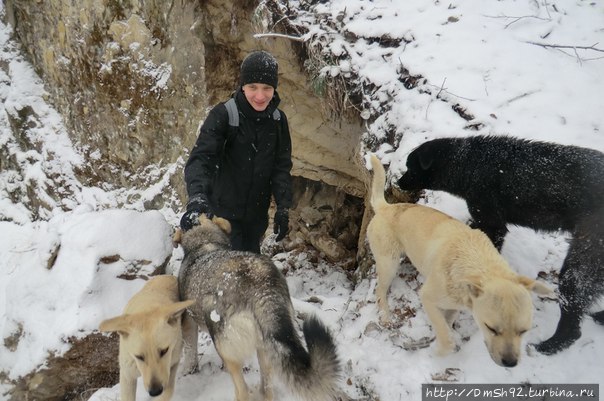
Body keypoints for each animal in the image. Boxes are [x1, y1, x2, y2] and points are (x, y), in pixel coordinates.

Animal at [366, 153, 556, 366]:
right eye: (491, 328)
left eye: (523, 331)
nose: (510, 363)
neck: (477, 263)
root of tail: (385, 208)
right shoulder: (427, 297)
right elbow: (445, 335)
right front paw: (437, 352)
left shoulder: (453, 306)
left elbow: (446, 323)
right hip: (388, 264)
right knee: (380, 291)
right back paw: (385, 315)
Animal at [396, 134, 604, 354]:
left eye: (410, 166)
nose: (398, 182)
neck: (469, 163)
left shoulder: (492, 223)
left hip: (581, 263)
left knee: (573, 324)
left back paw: (549, 345)